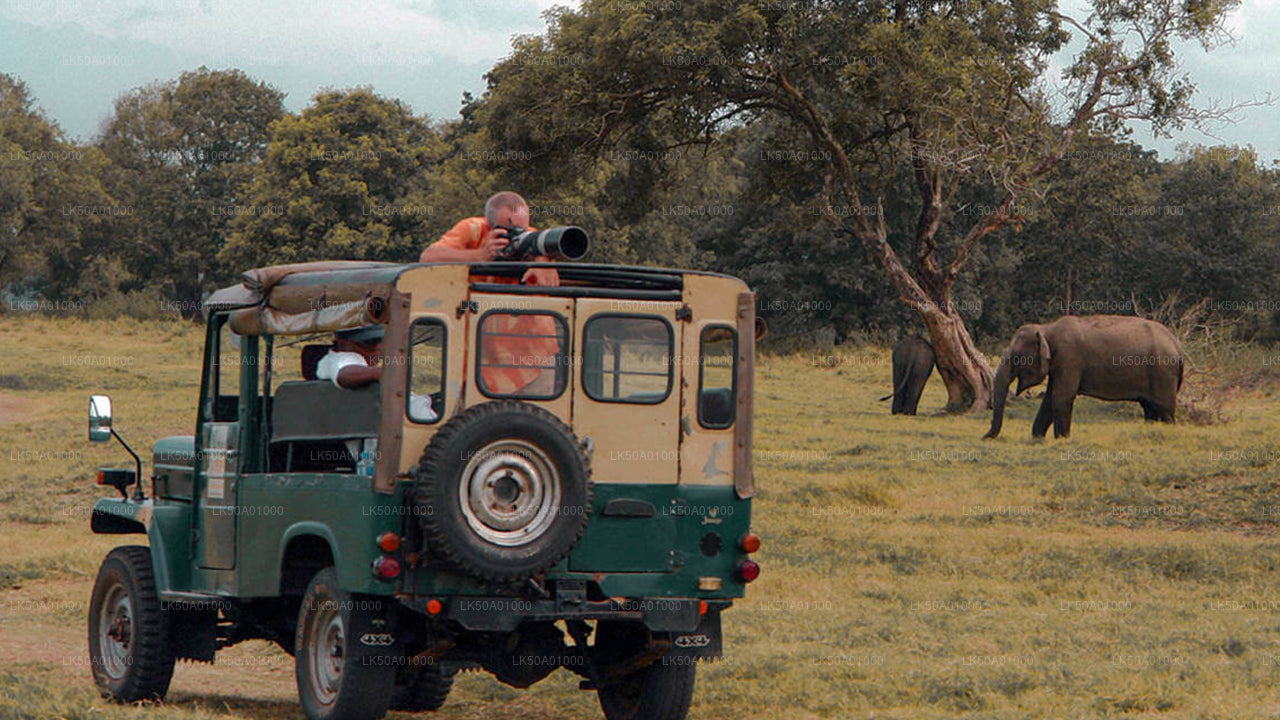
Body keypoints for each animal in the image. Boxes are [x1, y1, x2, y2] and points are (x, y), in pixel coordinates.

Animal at [983, 313, 1182, 438]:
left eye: (1016, 358)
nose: (984, 437)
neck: (1047, 329)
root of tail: (1176, 344)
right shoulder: (1059, 365)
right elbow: (1049, 398)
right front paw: (1037, 438)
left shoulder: (1069, 359)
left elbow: (1061, 397)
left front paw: (1062, 439)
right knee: (1150, 409)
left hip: (1162, 373)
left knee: (1164, 410)